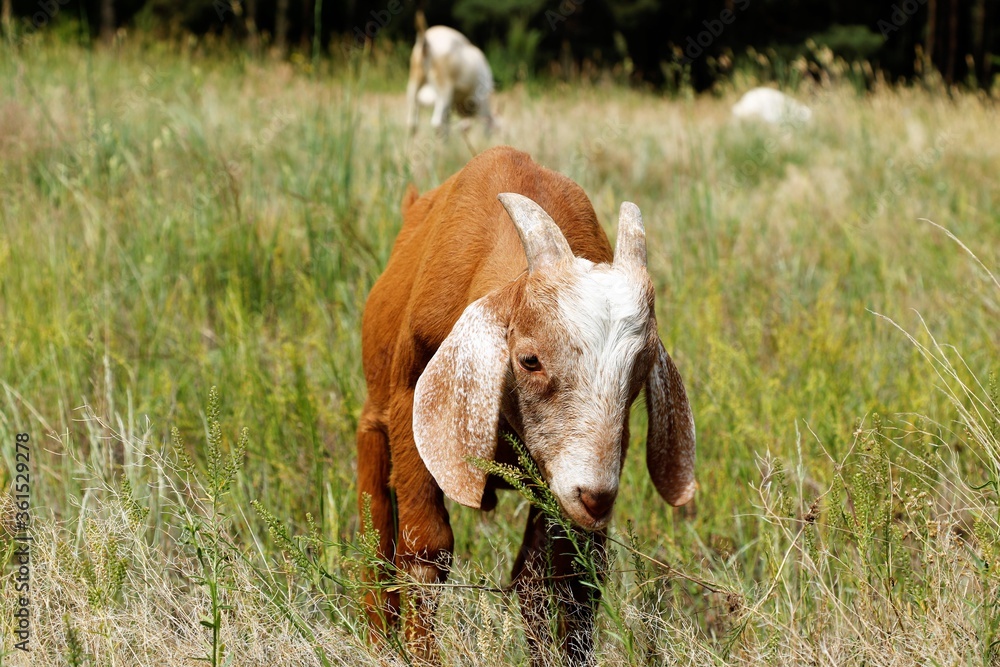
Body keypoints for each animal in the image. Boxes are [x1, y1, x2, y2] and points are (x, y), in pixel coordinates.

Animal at [357, 146, 696, 665]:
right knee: (376, 522)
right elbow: (424, 550)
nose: (595, 496)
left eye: (639, 370)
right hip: (376, 417)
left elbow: (559, 577)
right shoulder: (410, 405)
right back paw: (378, 641)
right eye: (529, 359)